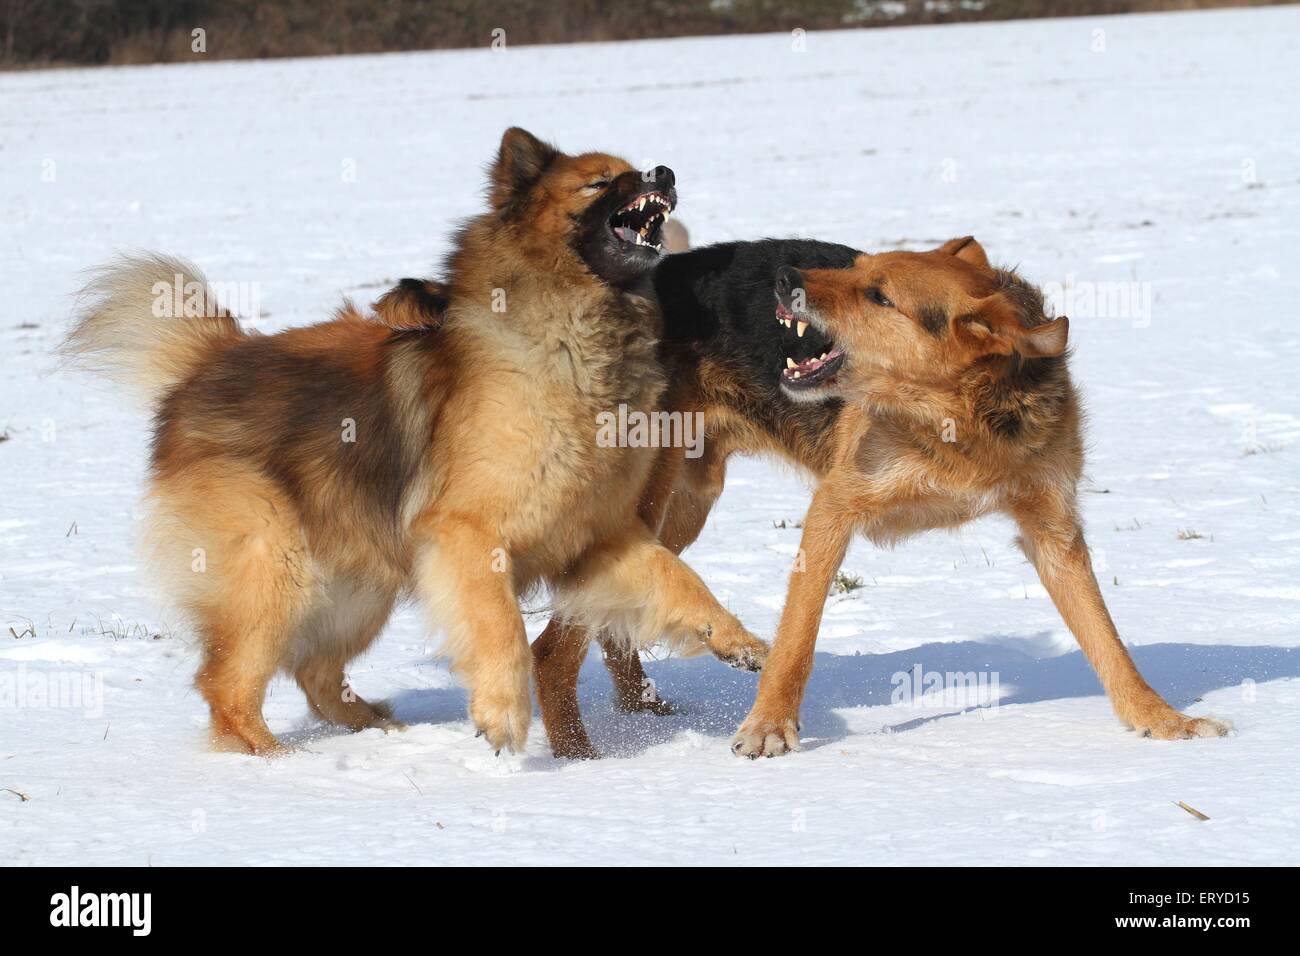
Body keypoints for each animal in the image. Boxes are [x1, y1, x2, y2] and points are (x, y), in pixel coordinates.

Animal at [63, 127, 769, 754]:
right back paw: (278, 761)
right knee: (226, 686)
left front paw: (737, 639)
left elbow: (675, 578)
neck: (570, 343)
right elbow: (501, 628)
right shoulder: (466, 534)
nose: (665, 172)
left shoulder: (599, 538)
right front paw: (502, 715)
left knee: (313, 673)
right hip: (275, 570)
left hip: (358, 587)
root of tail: (207, 361)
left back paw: (375, 727)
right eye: (600, 181)